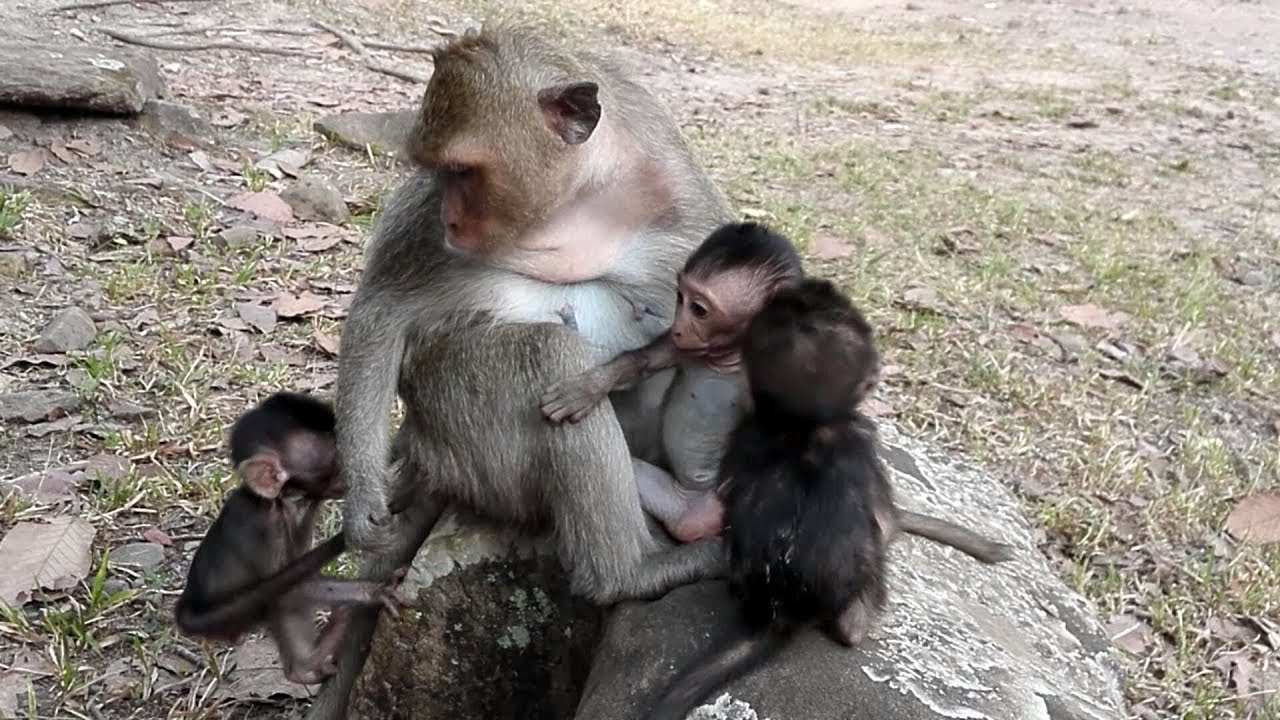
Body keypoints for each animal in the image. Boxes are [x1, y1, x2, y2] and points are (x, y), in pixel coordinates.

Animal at [174, 392, 409, 685]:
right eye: (337, 460)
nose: (351, 475)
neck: (288, 500)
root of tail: (185, 609)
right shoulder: (265, 526)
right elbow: (291, 589)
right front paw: (373, 590)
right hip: (218, 618)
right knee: (275, 592)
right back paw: (305, 666)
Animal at [307, 25, 740, 720]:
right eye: (435, 172)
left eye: (461, 171)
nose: (450, 218)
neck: (579, 203)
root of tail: (430, 448)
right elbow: (383, 312)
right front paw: (364, 506)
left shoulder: (684, 203)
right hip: (464, 435)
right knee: (547, 355)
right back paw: (628, 573)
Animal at [539, 222, 1014, 565]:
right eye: (681, 299)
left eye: (700, 308)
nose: (678, 325)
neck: (729, 359)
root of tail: (691, 504)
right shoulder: (691, 349)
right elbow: (645, 360)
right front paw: (587, 387)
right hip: (675, 500)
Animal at [645, 278, 909, 720]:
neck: (800, 425)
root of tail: (781, 607)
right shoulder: (861, 441)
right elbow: (888, 523)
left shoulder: (742, 438)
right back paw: (855, 623)